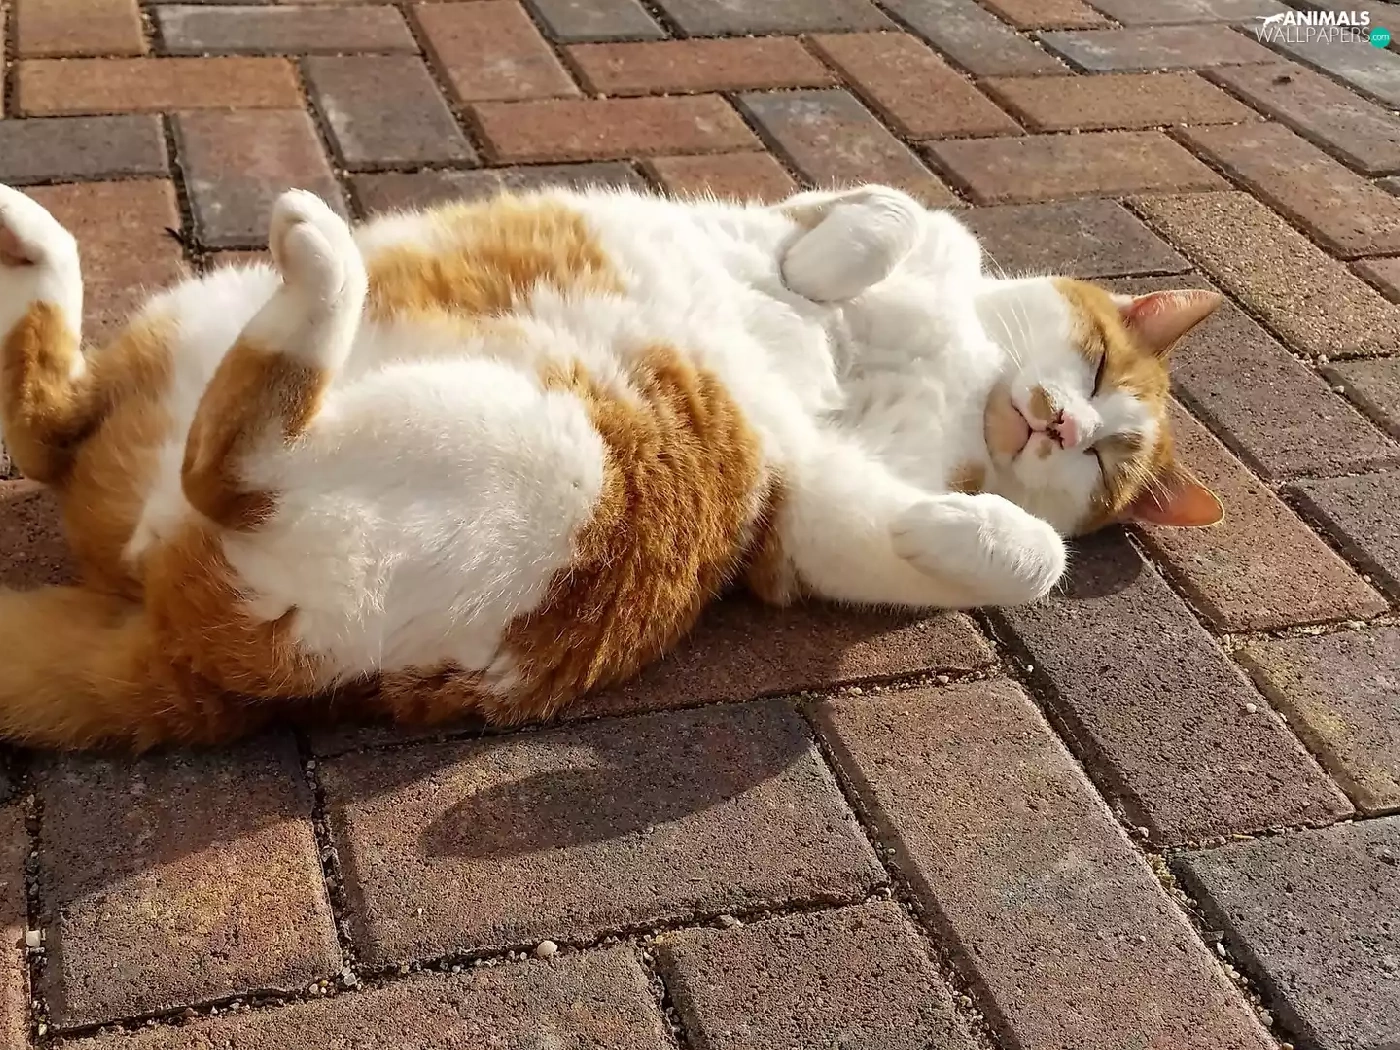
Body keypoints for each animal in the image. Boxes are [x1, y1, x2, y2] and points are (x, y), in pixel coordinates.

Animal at [0, 181, 1222, 750]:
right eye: (1097, 360)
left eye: (1107, 465)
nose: (1064, 424)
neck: (956, 373)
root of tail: (171, 633)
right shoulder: (841, 219)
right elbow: (891, 212)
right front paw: (835, 259)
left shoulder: (807, 516)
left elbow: (1005, 554)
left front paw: (966, 526)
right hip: (218, 320)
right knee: (84, 429)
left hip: (547, 462)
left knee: (133, 443)